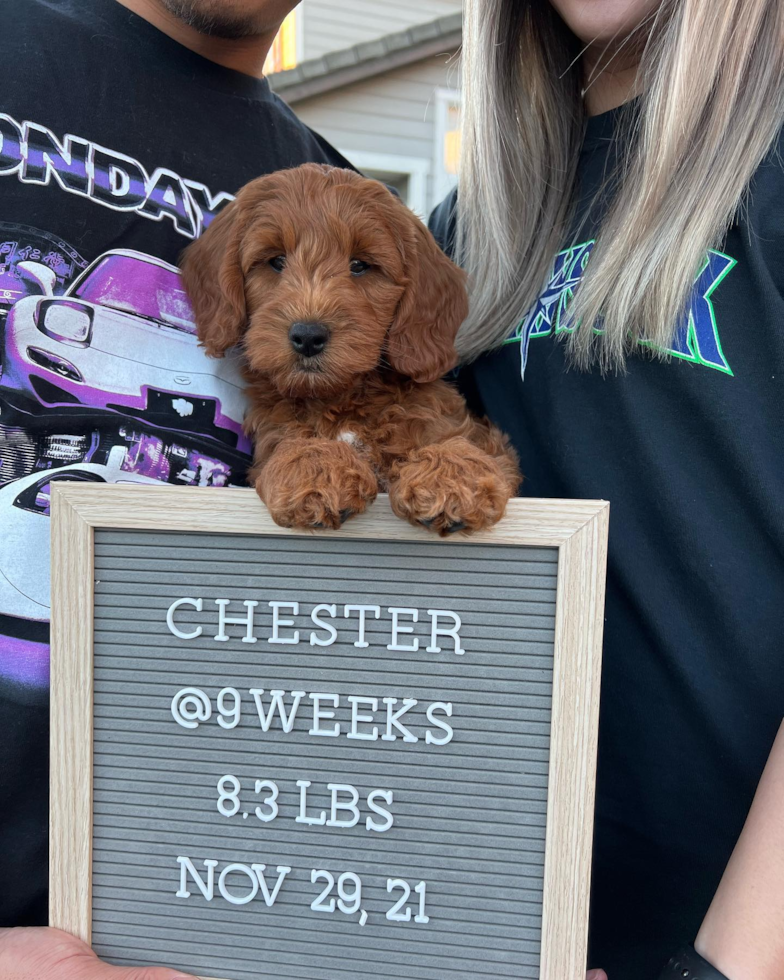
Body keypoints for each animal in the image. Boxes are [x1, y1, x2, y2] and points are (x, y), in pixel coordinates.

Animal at [182, 168, 520, 536]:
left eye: (359, 265)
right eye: (276, 261)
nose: (308, 336)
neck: (341, 397)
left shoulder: (463, 427)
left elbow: (455, 437)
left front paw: (450, 474)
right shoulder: (274, 427)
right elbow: (290, 441)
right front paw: (317, 468)